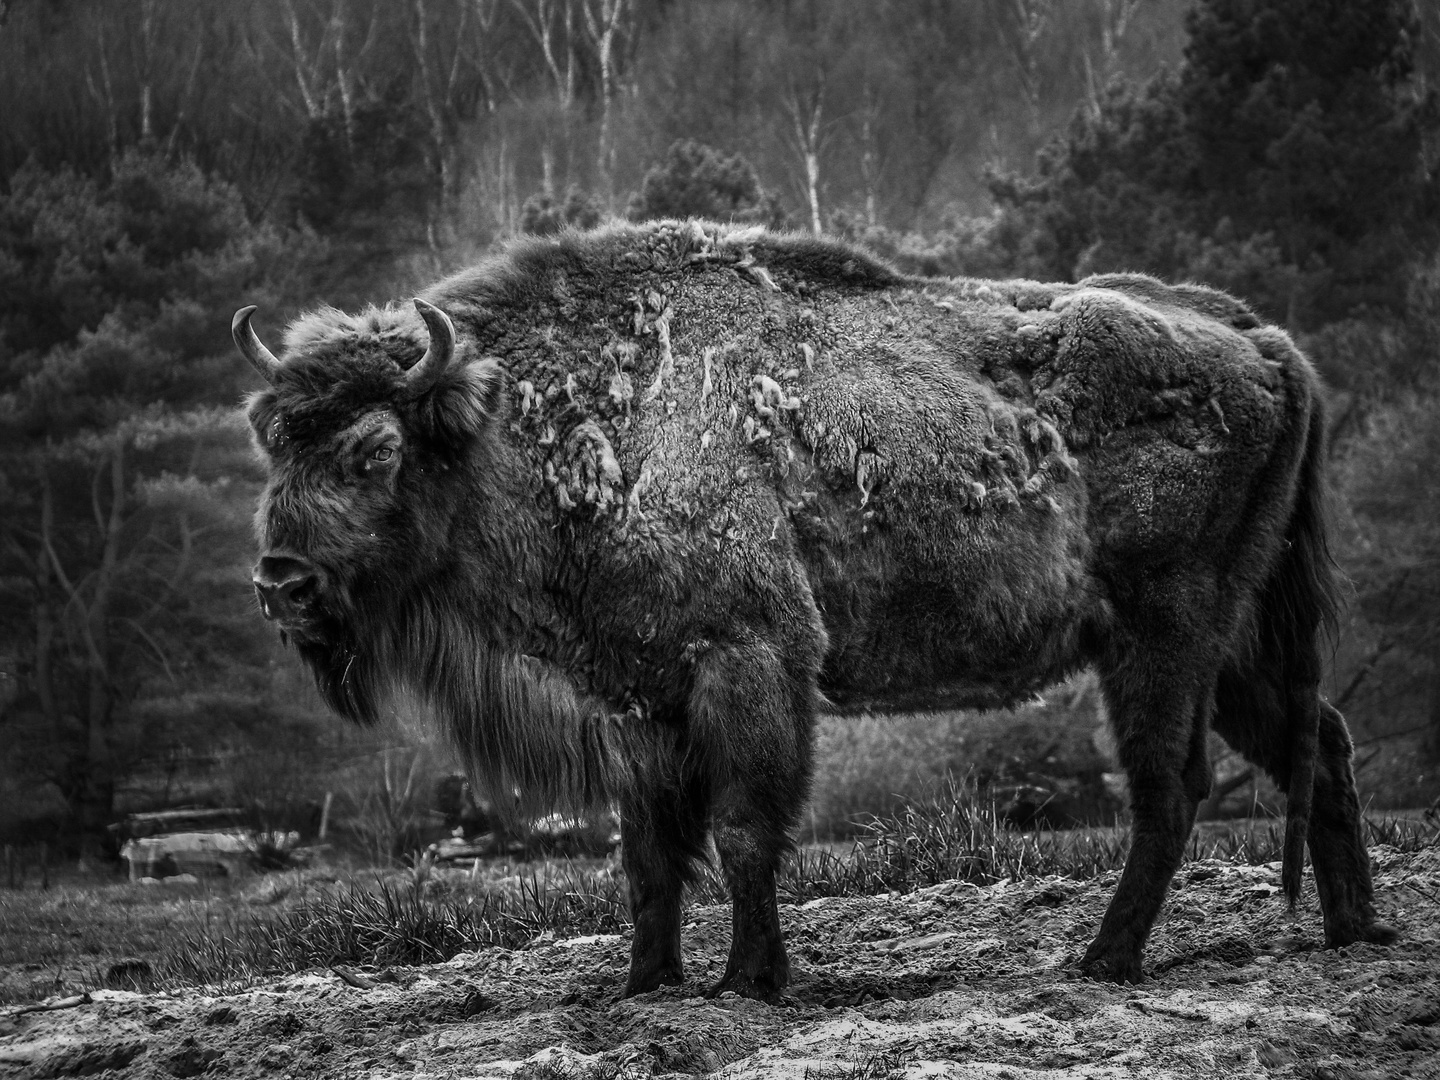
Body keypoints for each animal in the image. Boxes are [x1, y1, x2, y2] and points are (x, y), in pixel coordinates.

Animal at [233, 221, 1393, 1008]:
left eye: (373, 450)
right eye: (272, 437)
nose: (280, 583)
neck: (553, 415)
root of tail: (1259, 340)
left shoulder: (750, 658)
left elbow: (746, 828)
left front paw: (749, 982)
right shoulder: (641, 697)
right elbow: (648, 852)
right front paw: (642, 984)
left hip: (1161, 633)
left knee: (1170, 785)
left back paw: (1104, 960)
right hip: (1230, 643)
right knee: (1319, 741)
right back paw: (1354, 933)